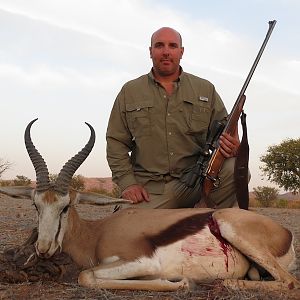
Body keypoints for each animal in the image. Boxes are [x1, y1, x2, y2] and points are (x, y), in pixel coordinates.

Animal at [1, 118, 298, 292]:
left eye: (65, 206)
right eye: (36, 205)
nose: (43, 249)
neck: (96, 235)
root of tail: (286, 233)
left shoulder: (142, 261)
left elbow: (86, 276)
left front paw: (180, 282)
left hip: (228, 225)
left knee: (290, 281)